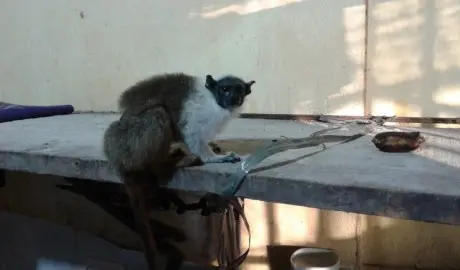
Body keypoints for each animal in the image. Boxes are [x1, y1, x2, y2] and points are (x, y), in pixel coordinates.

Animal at [102, 72, 255, 270]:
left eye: (239, 90)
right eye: (225, 90)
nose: (233, 98)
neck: (215, 102)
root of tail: (117, 158)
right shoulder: (197, 112)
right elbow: (191, 133)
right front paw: (213, 157)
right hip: (128, 144)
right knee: (158, 114)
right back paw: (168, 163)